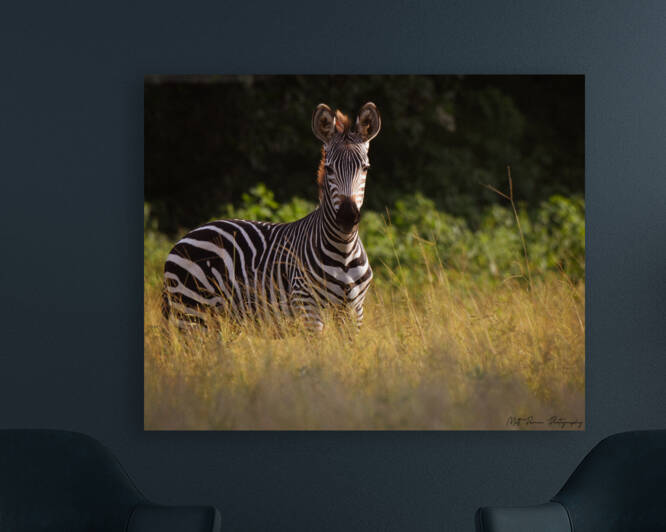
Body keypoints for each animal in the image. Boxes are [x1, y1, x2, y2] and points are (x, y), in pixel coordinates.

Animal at [162, 102, 381, 334]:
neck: (343, 252)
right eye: (329, 168)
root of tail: (184, 238)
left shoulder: (354, 311)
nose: (347, 217)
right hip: (192, 312)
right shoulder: (308, 307)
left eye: (365, 168)